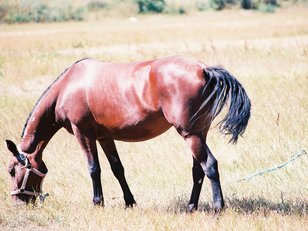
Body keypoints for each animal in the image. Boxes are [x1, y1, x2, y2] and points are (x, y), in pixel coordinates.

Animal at [4, 55, 250, 211]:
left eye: (11, 170)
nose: (18, 203)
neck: (67, 86)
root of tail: (204, 69)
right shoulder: (104, 137)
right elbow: (117, 169)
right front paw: (129, 202)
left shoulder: (83, 132)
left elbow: (94, 168)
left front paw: (97, 203)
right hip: (199, 132)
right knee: (197, 170)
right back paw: (191, 207)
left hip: (190, 134)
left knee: (209, 165)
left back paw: (218, 208)